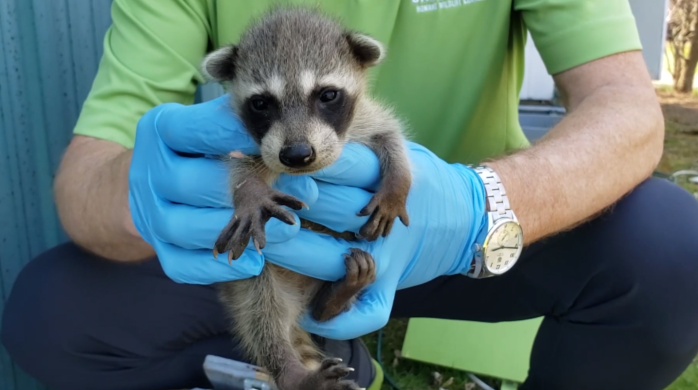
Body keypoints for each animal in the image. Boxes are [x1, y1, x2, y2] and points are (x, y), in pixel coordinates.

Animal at [198, 5, 410, 390]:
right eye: (262, 103)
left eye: (327, 95)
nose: (296, 155)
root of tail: (301, 300)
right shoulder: (244, 142)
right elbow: (238, 166)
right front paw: (250, 193)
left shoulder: (367, 116)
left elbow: (393, 137)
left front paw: (396, 185)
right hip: (254, 281)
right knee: (261, 315)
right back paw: (293, 371)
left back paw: (333, 299)